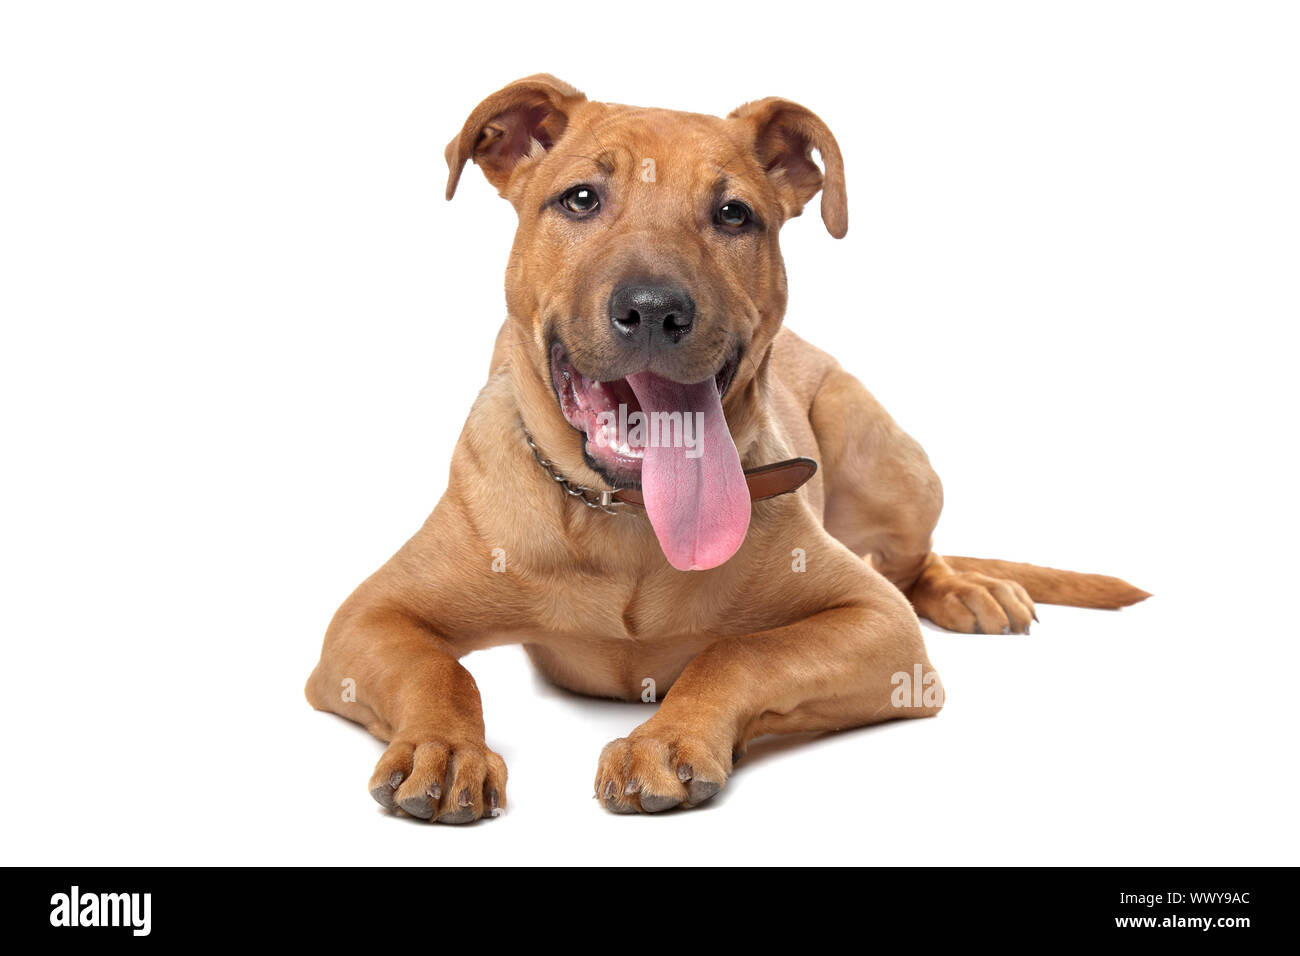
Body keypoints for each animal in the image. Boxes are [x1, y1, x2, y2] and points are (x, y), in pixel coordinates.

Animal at [306, 74, 1149, 822]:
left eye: (734, 214)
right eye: (580, 199)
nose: (655, 308)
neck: (629, 525)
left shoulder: (880, 626)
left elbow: (738, 653)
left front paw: (668, 738)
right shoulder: (367, 619)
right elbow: (440, 672)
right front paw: (445, 748)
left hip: (892, 462)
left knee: (914, 567)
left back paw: (973, 589)